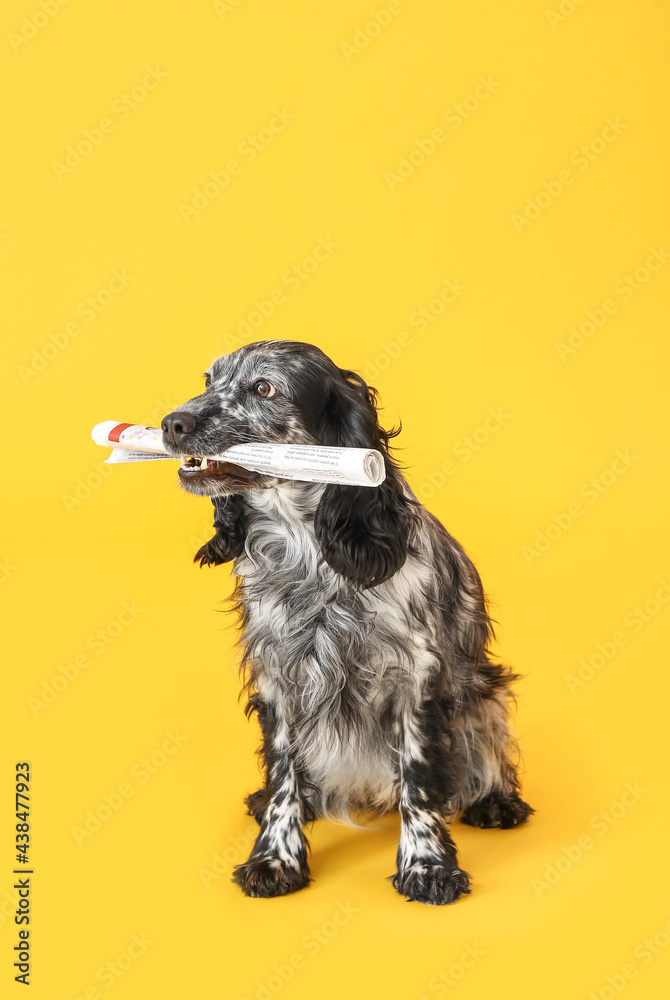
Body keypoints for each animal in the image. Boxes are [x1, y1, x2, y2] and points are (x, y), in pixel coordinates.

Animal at [160, 342, 532, 908]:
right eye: (208, 380)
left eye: (264, 388)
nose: (170, 423)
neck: (310, 557)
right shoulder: (278, 677)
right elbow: (284, 776)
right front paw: (275, 858)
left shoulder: (415, 679)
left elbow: (419, 780)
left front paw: (427, 865)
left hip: (484, 693)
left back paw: (494, 800)